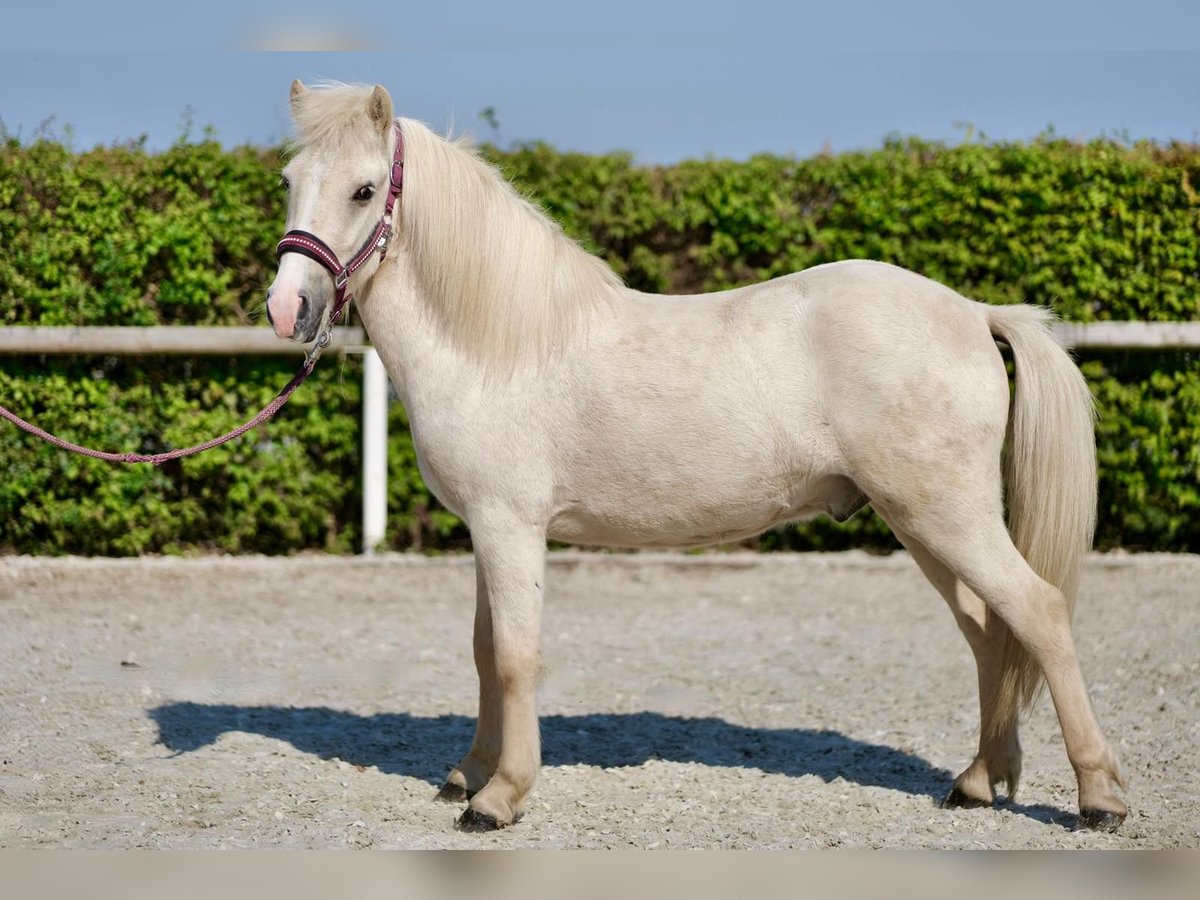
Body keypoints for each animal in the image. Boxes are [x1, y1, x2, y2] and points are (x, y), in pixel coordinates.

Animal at [260, 81, 1123, 835]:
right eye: (290, 182)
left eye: (365, 190)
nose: (286, 308)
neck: (498, 344)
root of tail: (975, 312)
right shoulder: (485, 529)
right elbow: (482, 651)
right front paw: (469, 773)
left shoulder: (511, 527)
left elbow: (514, 657)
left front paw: (499, 797)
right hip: (921, 522)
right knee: (989, 631)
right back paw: (978, 782)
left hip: (948, 516)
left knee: (1039, 613)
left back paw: (1098, 797)